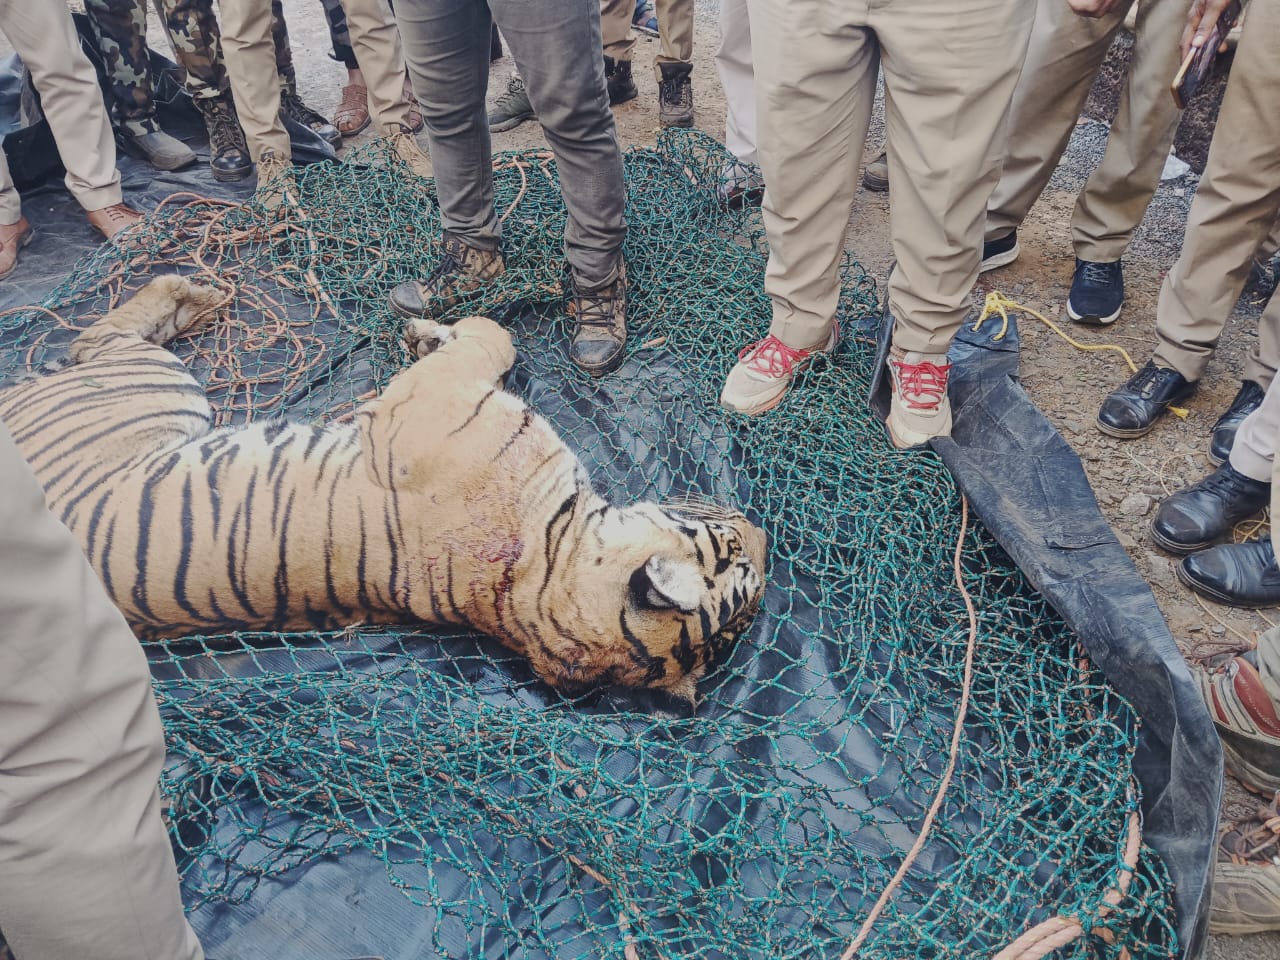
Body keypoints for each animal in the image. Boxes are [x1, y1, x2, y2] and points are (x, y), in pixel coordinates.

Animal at [0, 276, 767, 702]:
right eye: (733, 551)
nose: (761, 527)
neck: (542, 586)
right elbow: (486, 337)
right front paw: (432, 328)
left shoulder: (432, 395)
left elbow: (490, 338)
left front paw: (442, 328)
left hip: (153, 387)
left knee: (93, 343)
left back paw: (190, 294)